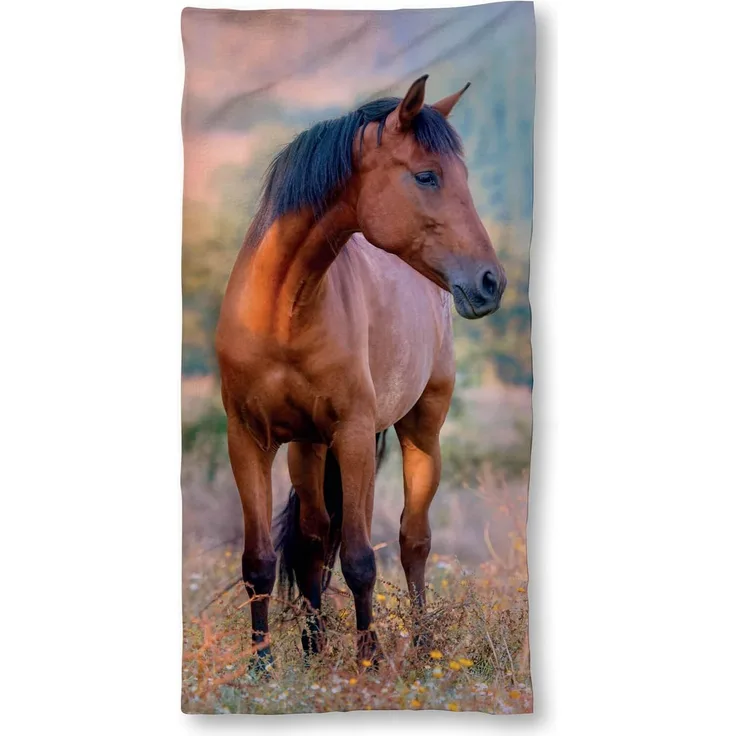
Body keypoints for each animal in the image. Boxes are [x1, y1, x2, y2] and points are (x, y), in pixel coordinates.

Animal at [215, 75, 506, 670]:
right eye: (426, 175)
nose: (491, 282)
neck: (283, 311)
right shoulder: (247, 438)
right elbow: (259, 561)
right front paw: (262, 668)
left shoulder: (351, 435)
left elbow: (360, 561)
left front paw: (367, 663)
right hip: (308, 448)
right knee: (311, 541)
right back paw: (313, 649)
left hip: (419, 430)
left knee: (412, 541)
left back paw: (419, 647)